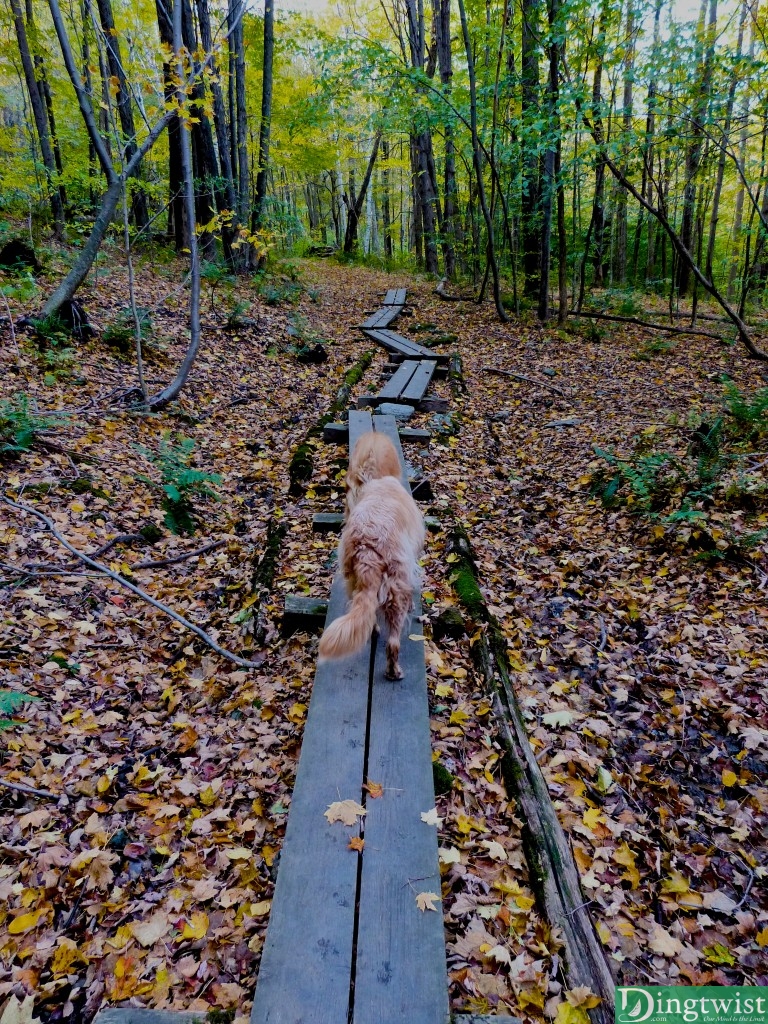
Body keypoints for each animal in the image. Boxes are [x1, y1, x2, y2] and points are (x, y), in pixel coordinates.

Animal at [319, 432, 428, 679]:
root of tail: (367, 548)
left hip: (354, 582)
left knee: (369, 616)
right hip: (395, 590)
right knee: (393, 642)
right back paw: (394, 671)